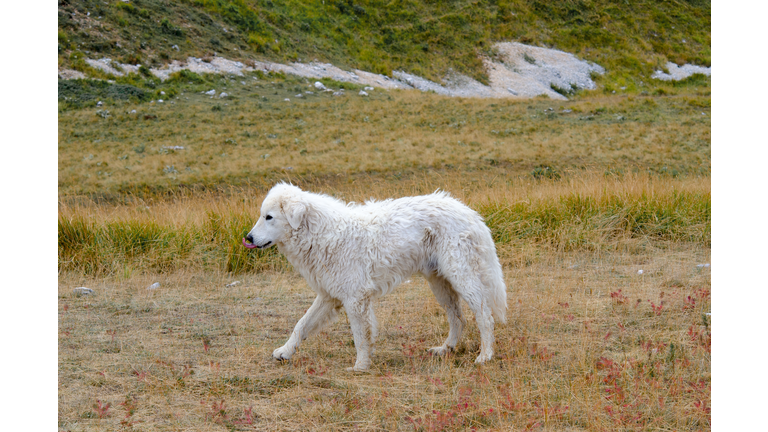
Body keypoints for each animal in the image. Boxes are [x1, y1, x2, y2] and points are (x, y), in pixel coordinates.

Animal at [246, 183, 508, 372]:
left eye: (269, 217)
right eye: (262, 215)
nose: (247, 238)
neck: (319, 233)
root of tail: (469, 212)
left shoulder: (355, 299)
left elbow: (360, 336)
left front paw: (360, 367)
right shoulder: (329, 296)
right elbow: (301, 325)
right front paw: (285, 351)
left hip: (461, 277)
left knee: (485, 317)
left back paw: (485, 356)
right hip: (440, 284)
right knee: (458, 318)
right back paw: (446, 349)